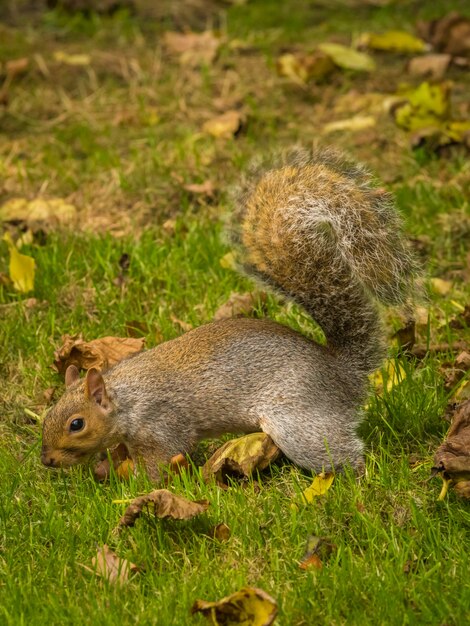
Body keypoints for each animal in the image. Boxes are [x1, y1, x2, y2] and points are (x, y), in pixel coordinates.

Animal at [40, 146, 414, 478]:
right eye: (48, 414)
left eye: (77, 424)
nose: (47, 460)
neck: (126, 399)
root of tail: (343, 373)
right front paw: (107, 466)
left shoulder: (161, 426)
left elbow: (160, 463)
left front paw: (130, 481)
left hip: (301, 422)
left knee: (340, 452)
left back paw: (354, 479)